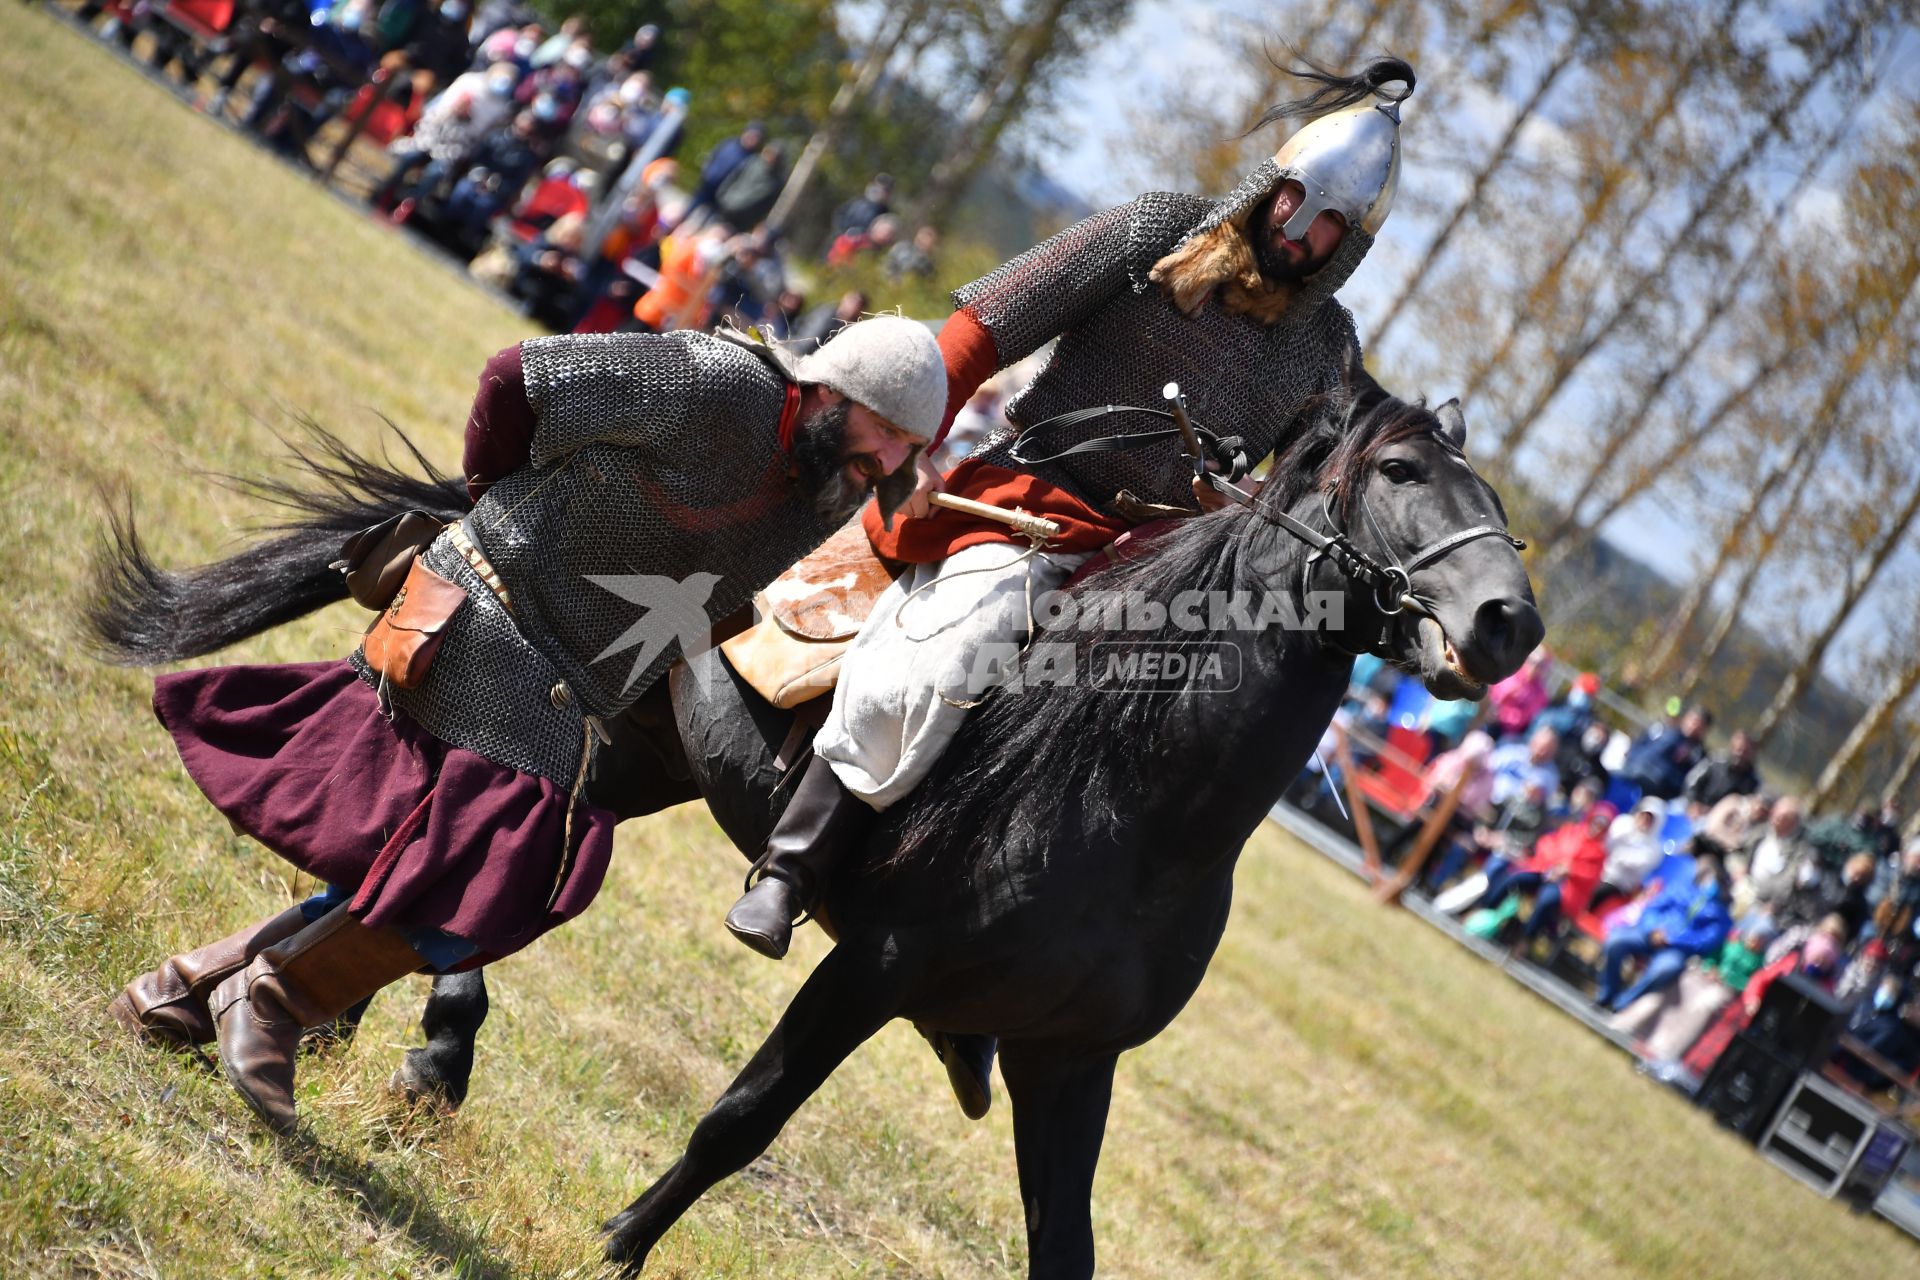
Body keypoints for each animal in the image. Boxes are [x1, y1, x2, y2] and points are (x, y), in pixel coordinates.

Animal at [93, 379, 1543, 1274]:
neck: (1125, 786)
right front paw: (617, 1245)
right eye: (1402, 471)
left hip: (644, 758)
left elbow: (1063, 1246)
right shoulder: (875, 969)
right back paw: (375, 1036)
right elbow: (741, 1121)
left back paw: (247, 1004)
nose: (1507, 625)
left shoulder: (1069, 1060)